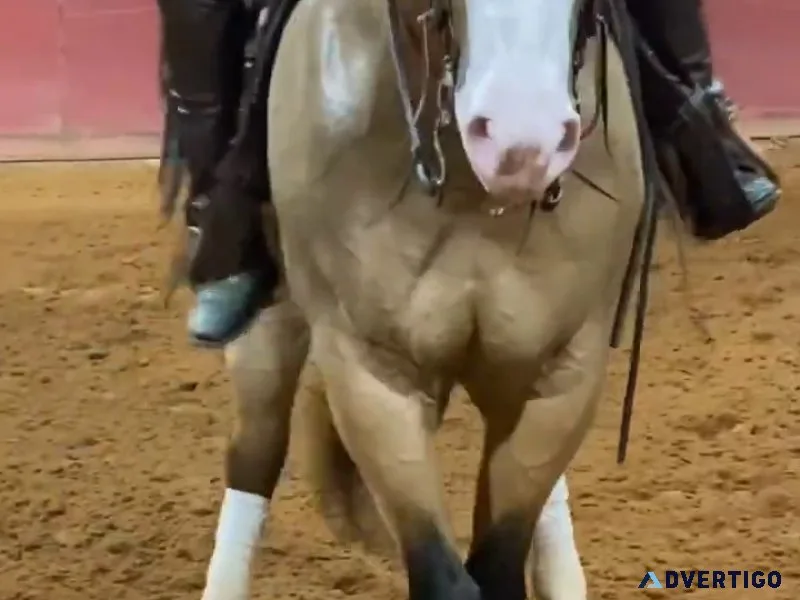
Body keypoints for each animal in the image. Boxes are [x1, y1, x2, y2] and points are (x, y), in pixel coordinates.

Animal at [193, 0, 649, 599]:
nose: (522, 145)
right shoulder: (372, 374)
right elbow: (443, 577)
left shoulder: (562, 374)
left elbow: (502, 562)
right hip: (267, 334)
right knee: (257, 451)